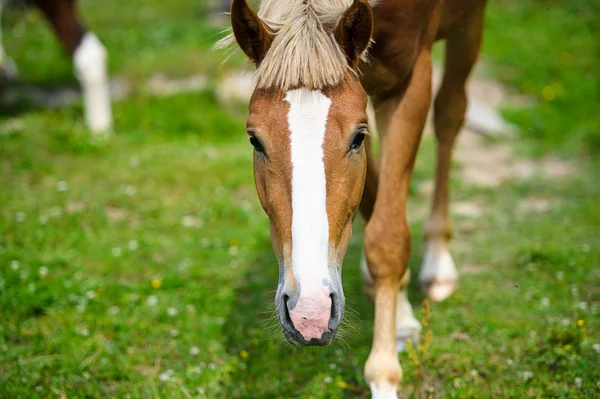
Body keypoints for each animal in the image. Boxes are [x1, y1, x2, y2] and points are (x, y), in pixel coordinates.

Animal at [220, 0, 488, 398]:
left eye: (356, 137)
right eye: (255, 140)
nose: (309, 314)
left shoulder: (410, 80)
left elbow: (388, 236)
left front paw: (384, 376)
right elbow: (375, 201)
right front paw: (399, 314)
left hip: (469, 25)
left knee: (450, 114)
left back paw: (438, 264)